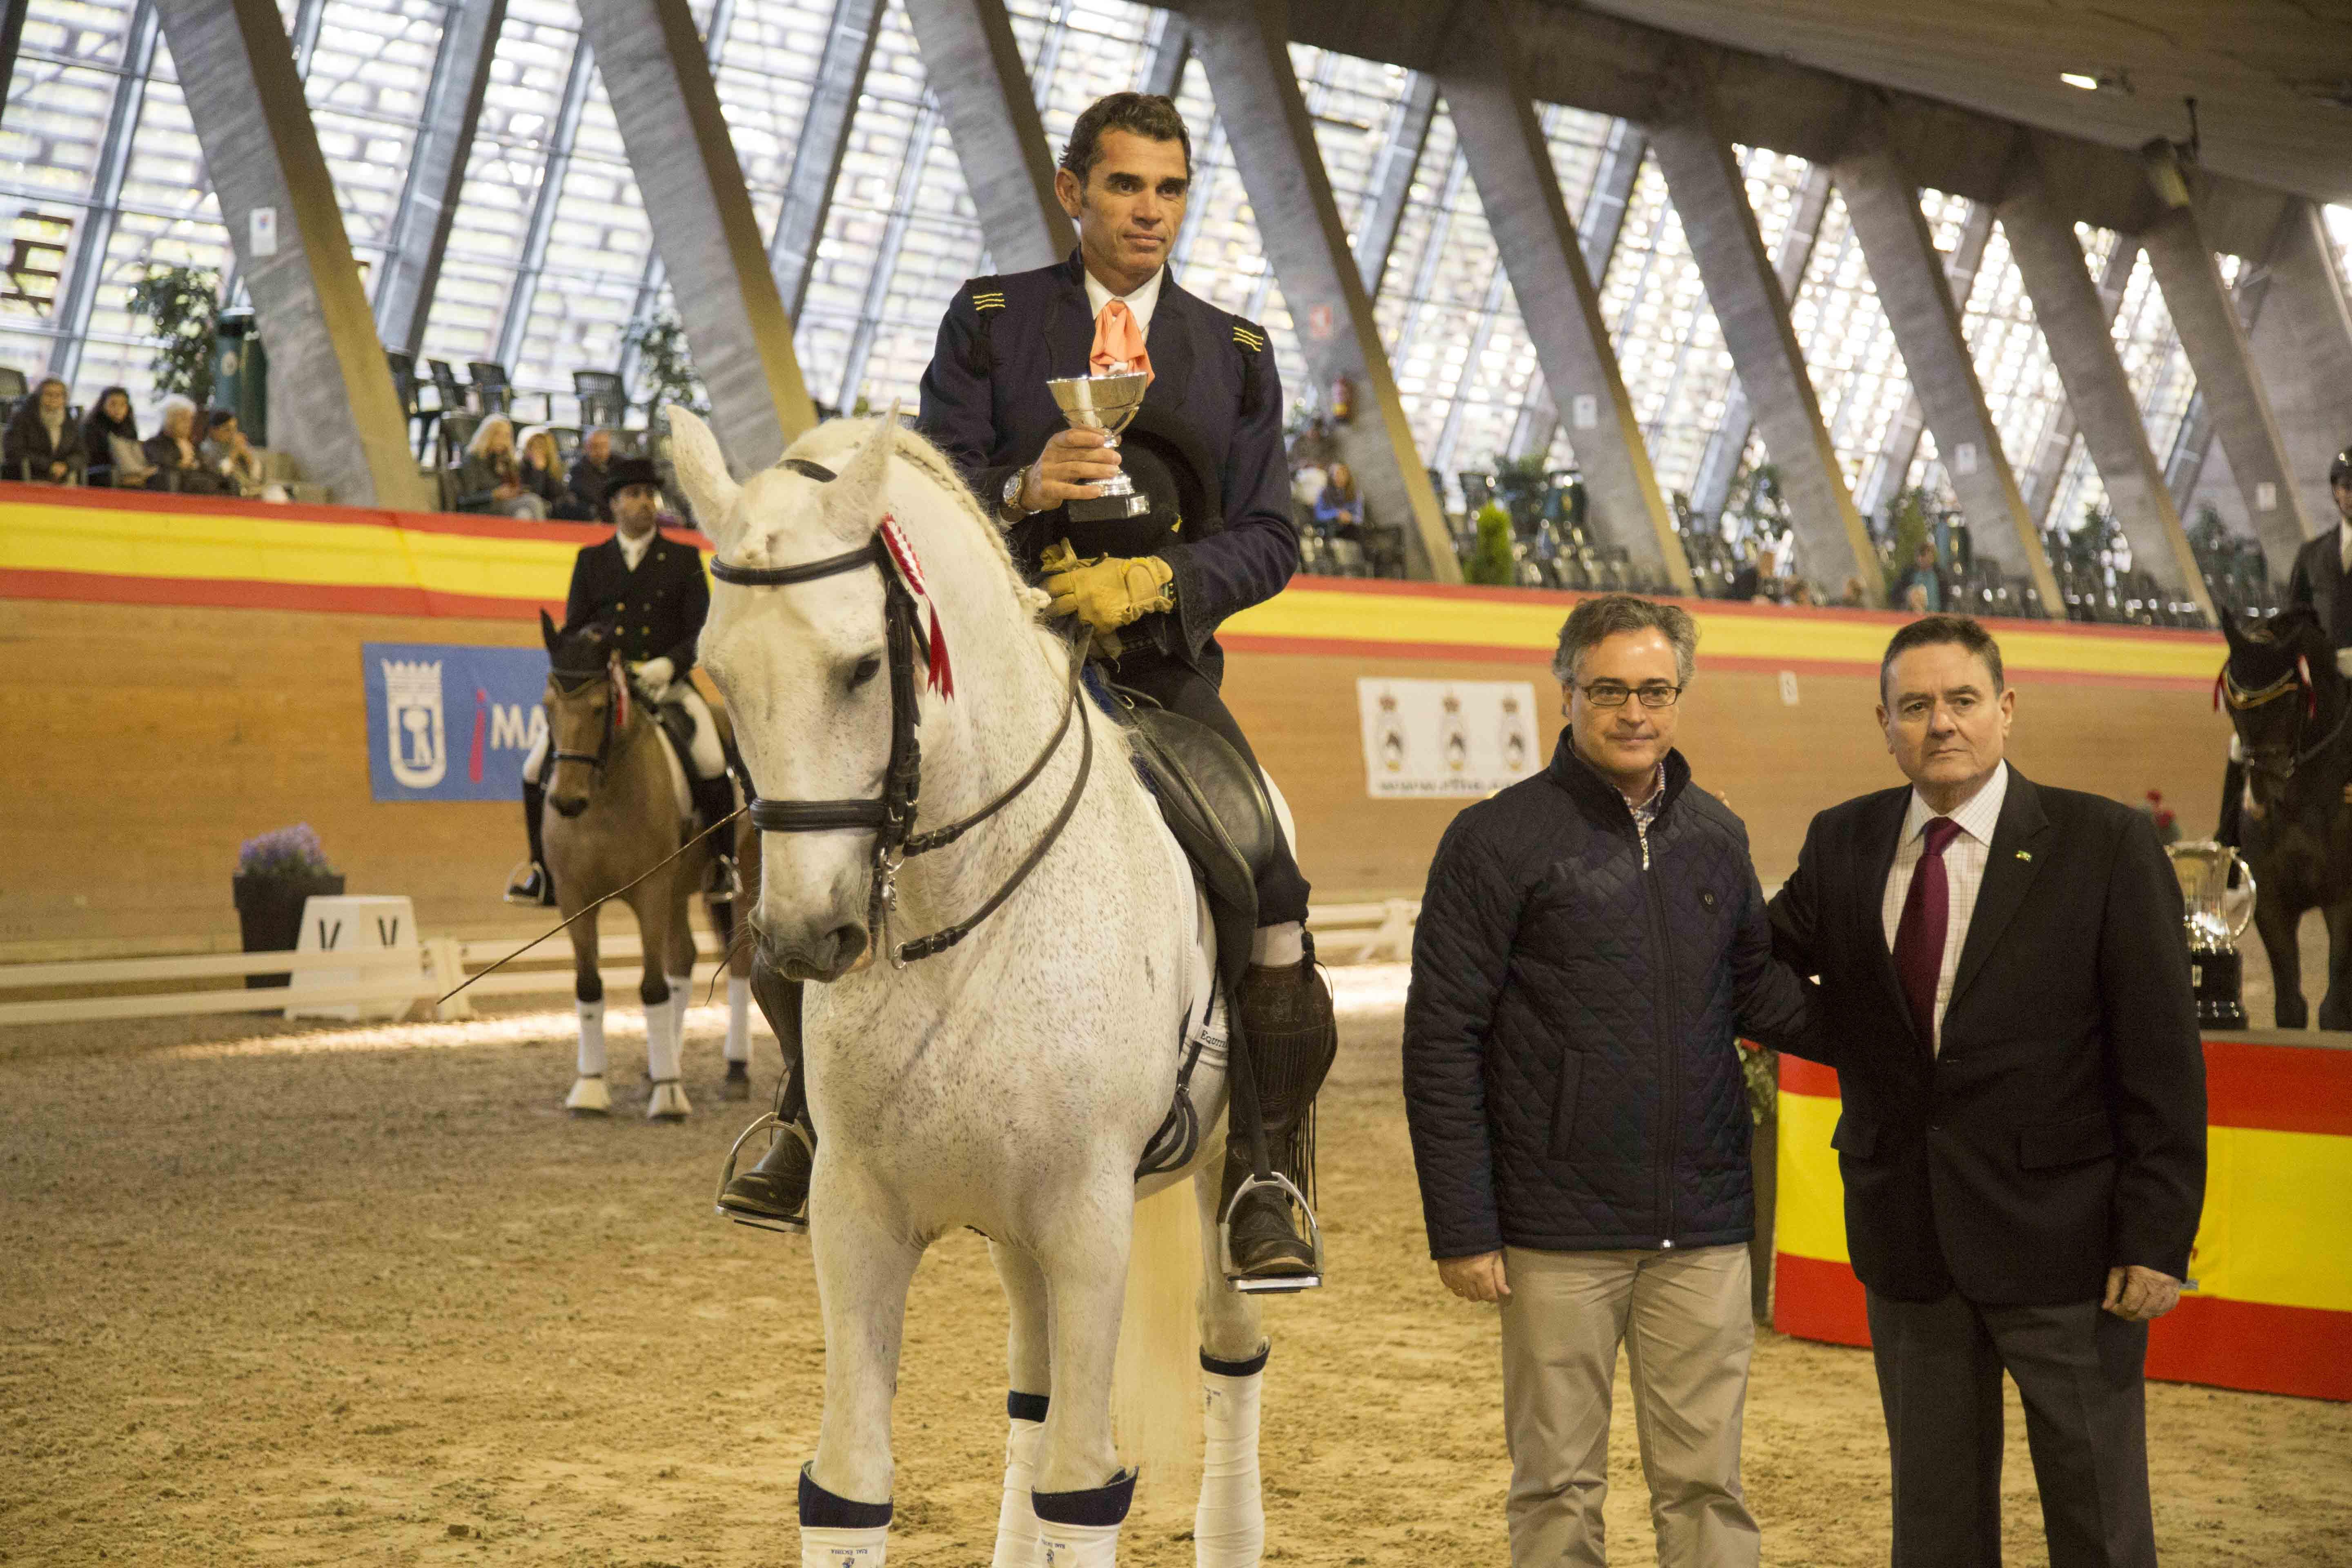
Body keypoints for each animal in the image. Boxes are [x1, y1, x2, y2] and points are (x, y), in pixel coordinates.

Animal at [536, 611, 748, 1114]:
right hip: (677, 890)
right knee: (684, 959)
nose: (567, 802)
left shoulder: (650, 891)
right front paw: (591, 1087)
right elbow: (589, 985)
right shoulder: (574, 898)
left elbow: (652, 988)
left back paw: (734, 1070)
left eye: (600, 708)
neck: (603, 799)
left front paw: (669, 1096)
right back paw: (662, 1062)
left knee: (740, 965)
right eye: (548, 707)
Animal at [673, 409, 1279, 1568]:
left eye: (864, 667)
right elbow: (849, 1488)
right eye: (716, 670)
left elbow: (1082, 1491)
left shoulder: (1089, 1223)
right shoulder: (858, 1214)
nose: (805, 935)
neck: (954, 920)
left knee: (1230, 1359)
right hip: (1013, 1232)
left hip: (1213, 1182)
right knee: (1030, 1389)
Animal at [2211, 606, 2352, 1034]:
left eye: (2289, 704)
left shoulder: (2343, 899)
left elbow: (2334, 1013)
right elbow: (2290, 1008)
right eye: (2233, 705)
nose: (2259, 801)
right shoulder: (2271, 901)